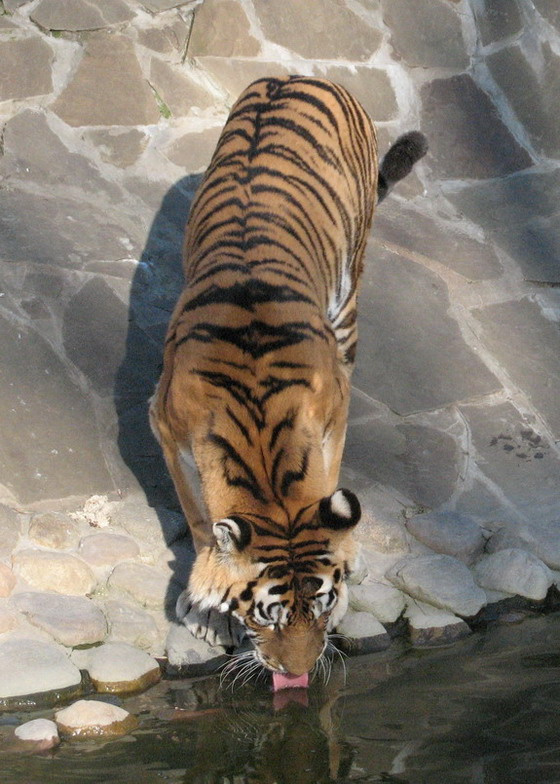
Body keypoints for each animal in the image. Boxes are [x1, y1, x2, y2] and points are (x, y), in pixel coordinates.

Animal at [150, 75, 427, 685]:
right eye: (266, 615)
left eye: (320, 605)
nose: (297, 674)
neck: (259, 431)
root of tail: (305, 77)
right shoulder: (166, 426)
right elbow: (198, 515)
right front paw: (206, 606)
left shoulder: (335, 408)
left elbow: (329, 474)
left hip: (348, 299)